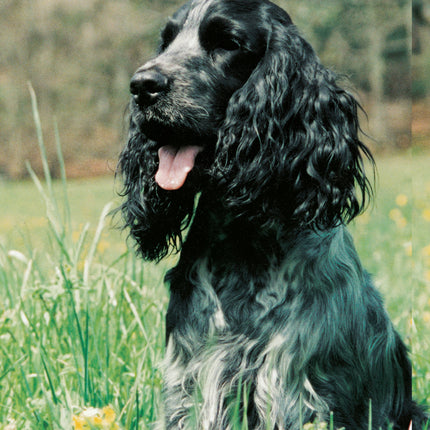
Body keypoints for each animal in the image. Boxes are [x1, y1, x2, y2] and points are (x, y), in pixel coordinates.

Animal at [116, 0, 426, 426]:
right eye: (166, 42)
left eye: (227, 43)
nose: (142, 85)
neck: (244, 245)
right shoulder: (190, 384)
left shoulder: (290, 388)